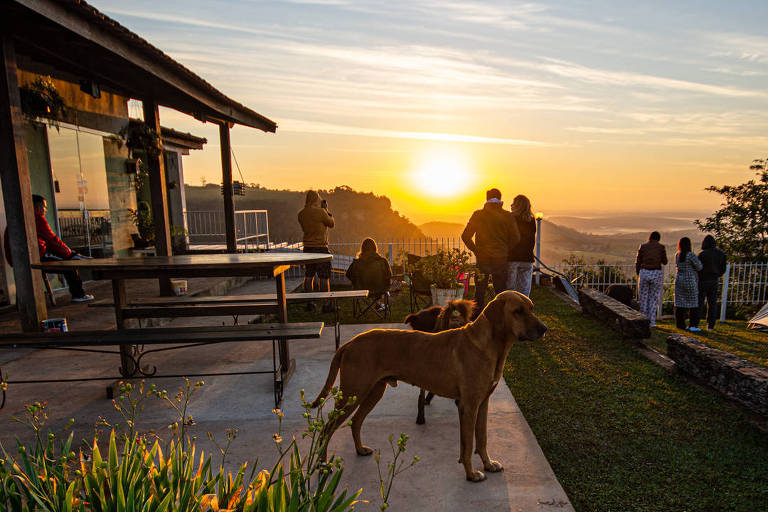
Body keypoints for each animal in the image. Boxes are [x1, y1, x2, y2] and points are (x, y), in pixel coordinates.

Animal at [310, 290, 544, 482]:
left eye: (532, 308)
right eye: (518, 311)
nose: (544, 329)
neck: (489, 345)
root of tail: (349, 343)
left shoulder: (483, 402)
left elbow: (482, 439)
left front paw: (488, 464)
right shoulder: (468, 406)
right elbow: (468, 445)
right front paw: (471, 474)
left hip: (374, 391)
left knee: (356, 422)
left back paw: (359, 450)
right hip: (353, 393)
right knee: (327, 428)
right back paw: (323, 465)